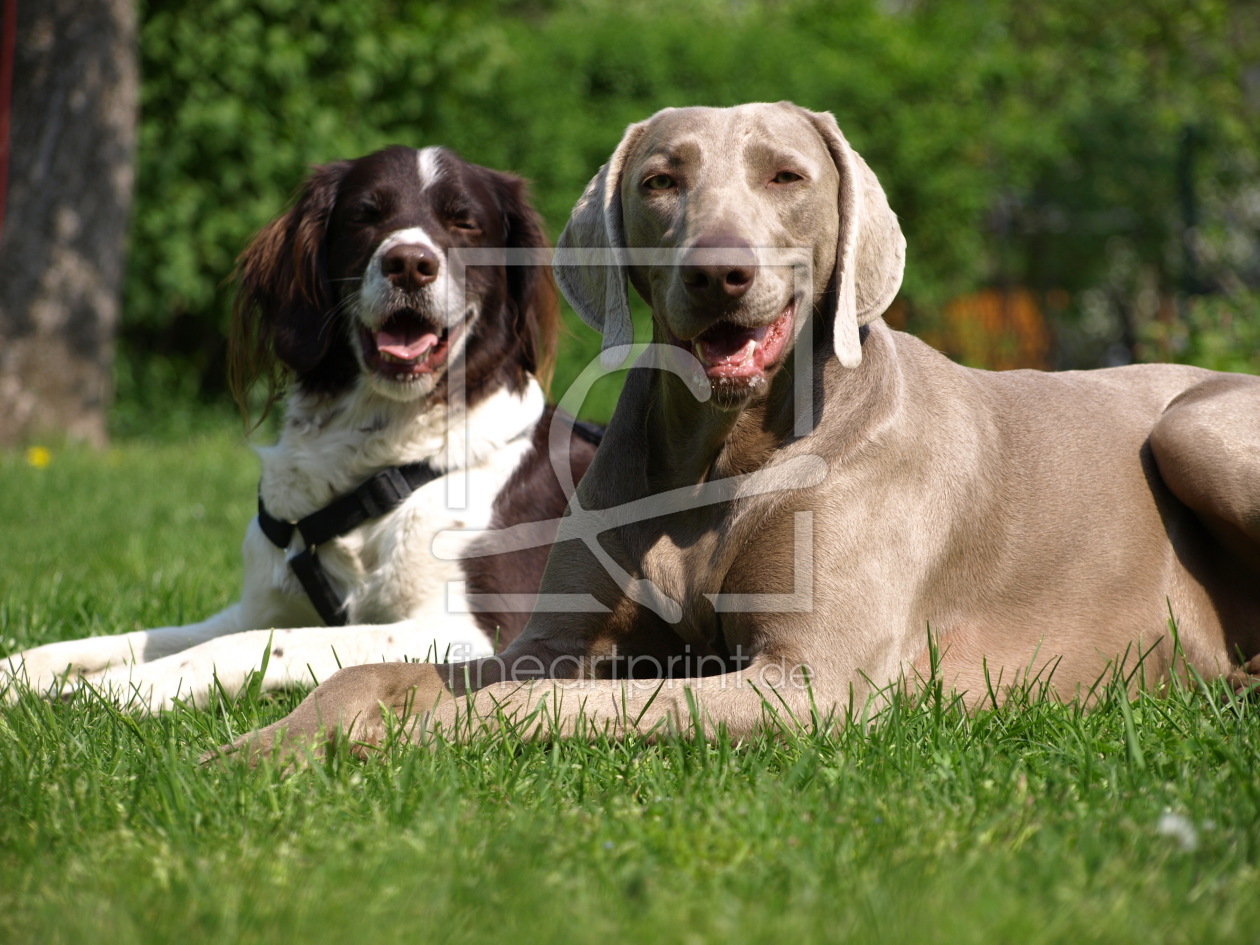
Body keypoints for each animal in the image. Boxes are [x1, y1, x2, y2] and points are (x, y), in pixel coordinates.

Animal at [2, 146, 597, 710]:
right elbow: (126, 640)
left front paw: (119, 689)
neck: (377, 453)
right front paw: (24, 673)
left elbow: (252, 645)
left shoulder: (478, 632)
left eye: (465, 222)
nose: (409, 263)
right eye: (365, 215)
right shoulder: (260, 606)